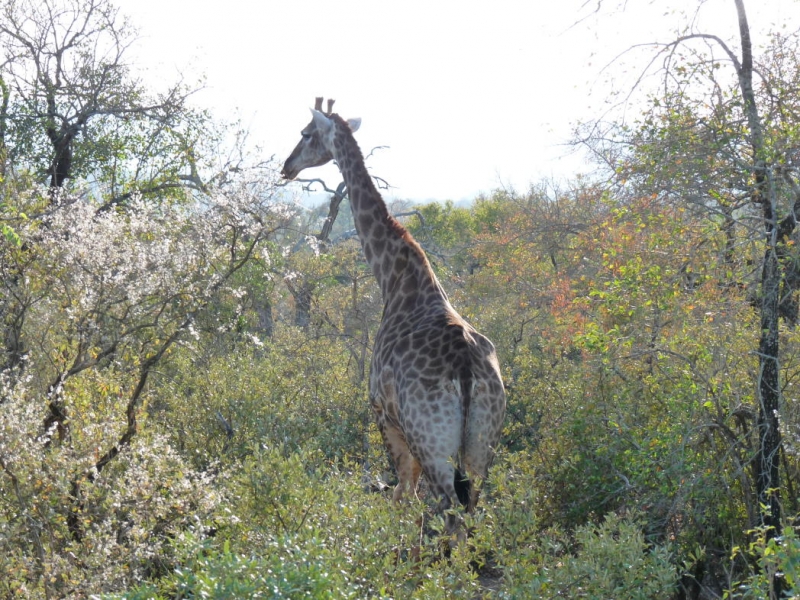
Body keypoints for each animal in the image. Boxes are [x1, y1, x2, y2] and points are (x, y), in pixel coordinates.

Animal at [282, 99, 506, 528]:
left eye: (305, 134)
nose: (286, 166)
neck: (396, 277)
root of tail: (466, 373)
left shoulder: (383, 416)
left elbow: (402, 495)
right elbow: (404, 495)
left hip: (430, 441)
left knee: (447, 510)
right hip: (482, 446)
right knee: (470, 511)